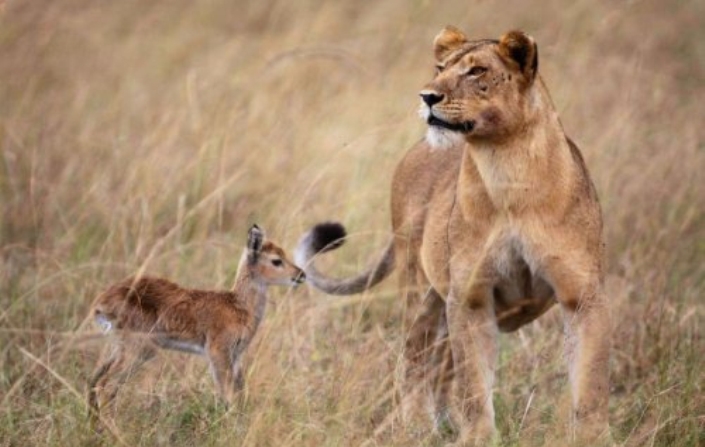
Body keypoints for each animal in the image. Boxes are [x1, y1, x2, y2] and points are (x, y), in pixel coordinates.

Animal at [86, 226, 304, 422]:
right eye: (276, 260)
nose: (301, 275)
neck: (239, 306)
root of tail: (100, 301)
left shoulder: (236, 356)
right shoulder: (217, 353)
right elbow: (226, 394)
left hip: (120, 348)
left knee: (95, 380)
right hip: (139, 349)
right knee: (105, 384)